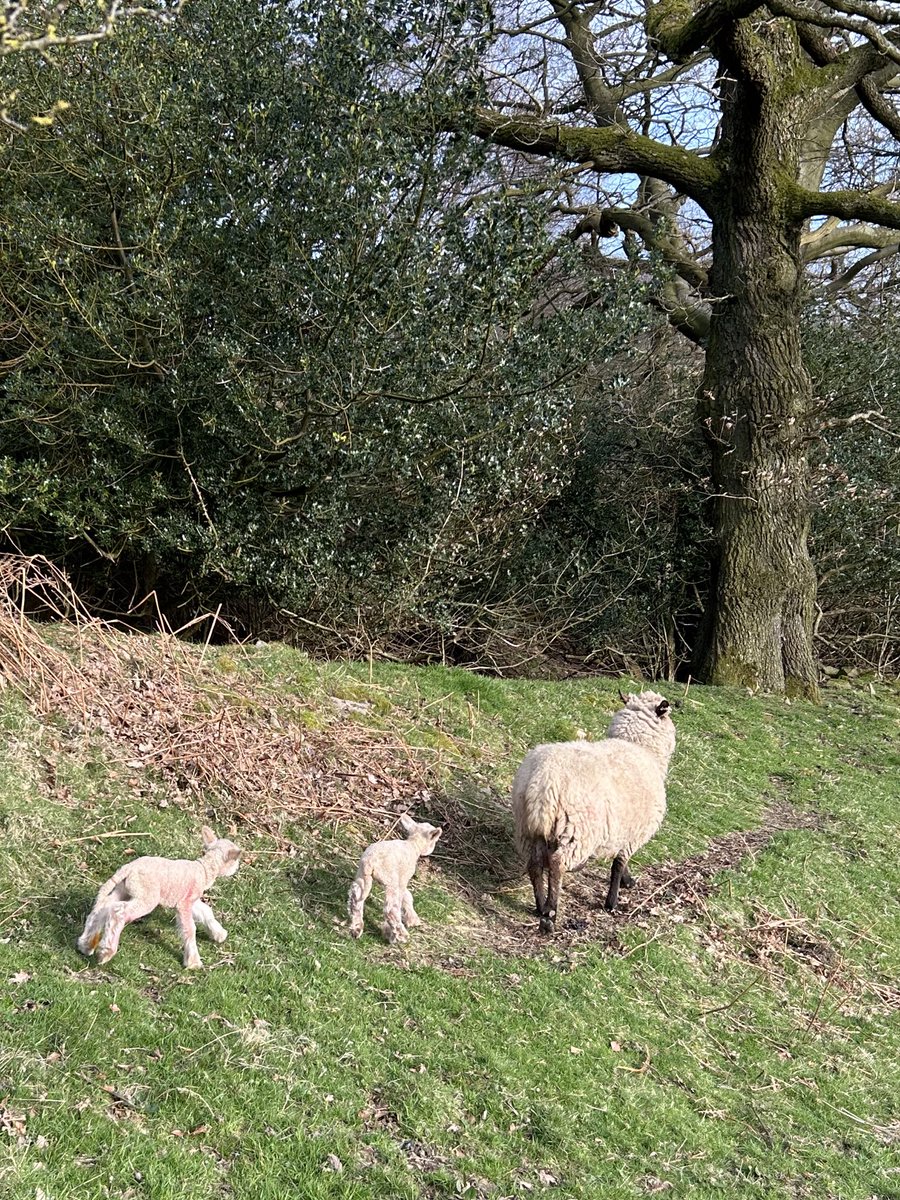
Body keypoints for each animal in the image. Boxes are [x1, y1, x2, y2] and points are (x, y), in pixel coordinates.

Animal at [77, 826, 242, 968]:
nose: (237, 869)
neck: (204, 869)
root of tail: (128, 868)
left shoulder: (189, 898)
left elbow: (206, 911)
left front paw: (219, 934)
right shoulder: (185, 903)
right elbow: (189, 928)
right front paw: (193, 962)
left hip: (123, 889)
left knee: (104, 907)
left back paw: (86, 945)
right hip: (147, 896)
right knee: (119, 912)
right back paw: (105, 952)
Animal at [348, 814, 442, 944]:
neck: (413, 845)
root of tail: (370, 862)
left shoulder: (400, 879)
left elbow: (407, 895)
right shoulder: (403, 877)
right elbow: (406, 896)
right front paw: (412, 920)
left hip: (363, 875)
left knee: (356, 897)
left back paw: (356, 928)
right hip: (390, 879)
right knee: (390, 909)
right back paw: (399, 935)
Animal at [512, 690, 676, 933]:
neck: (641, 748)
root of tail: (542, 785)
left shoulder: (625, 833)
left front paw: (626, 883)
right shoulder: (633, 834)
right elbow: (618, 865)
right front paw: (613, 900)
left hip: (528, 829)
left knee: (534, 865)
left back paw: (540, 905)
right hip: (575, 831)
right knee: (557, 865)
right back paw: (551, 913)